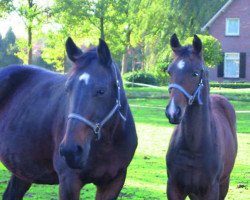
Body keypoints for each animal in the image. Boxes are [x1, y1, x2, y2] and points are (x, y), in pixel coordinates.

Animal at [0, 37, 137, 198]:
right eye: (68, 88)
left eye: (101, 91)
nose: (71, 150)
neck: (107, 144)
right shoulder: (69, 181)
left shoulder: (113, 182)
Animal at [165, 34, 237, 200]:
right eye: (169, 72)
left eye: (195, 73)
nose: (173, 112)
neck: (193, 147)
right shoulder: (173, 188)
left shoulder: (211, 190)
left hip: (224, 183)